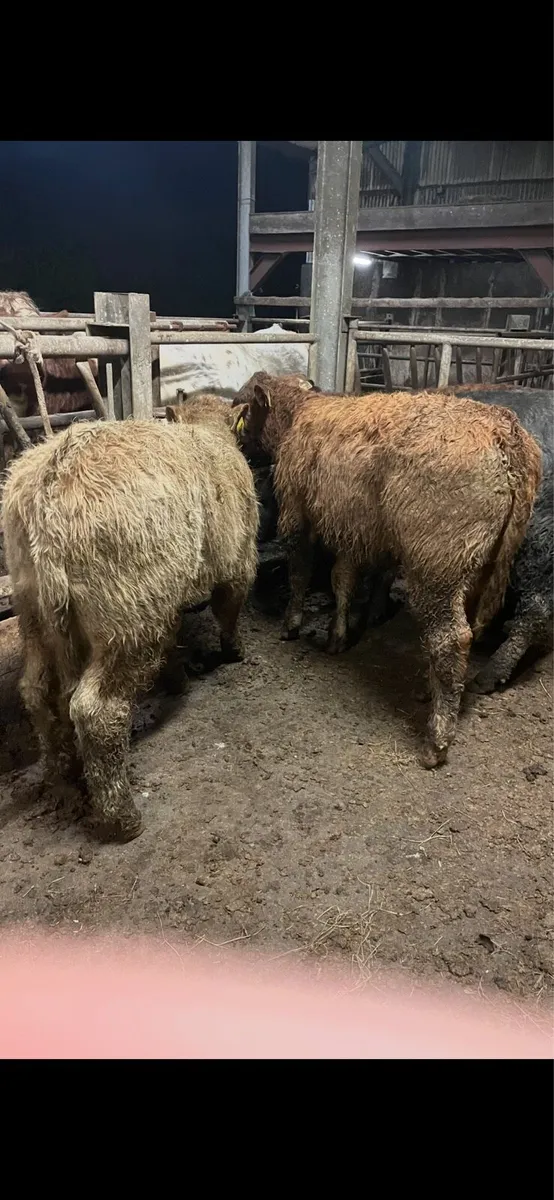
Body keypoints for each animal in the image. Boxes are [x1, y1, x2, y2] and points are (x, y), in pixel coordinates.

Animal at [2, 396, 258, 842]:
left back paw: (62, 776)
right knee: (97, 712)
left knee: (36, 690)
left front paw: (177, 679)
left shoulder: (167, 595)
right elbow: (228, 610)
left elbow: (174, 636)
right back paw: (122, 818)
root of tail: (53, 481)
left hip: (33, 609)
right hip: (128, 616)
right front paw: (233, 652)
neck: (206, 431)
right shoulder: (236, 560)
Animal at [231, 373, 542, 768]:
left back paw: (436, 740)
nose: (240, 447)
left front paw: (291, 625)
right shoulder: (351, 524)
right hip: (483, 562)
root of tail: (507, 433)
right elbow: (343, 580)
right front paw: (337, 636)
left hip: (437, 562)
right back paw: (433, 691)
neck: (300, 412)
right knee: (471, 628)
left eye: (243, 407)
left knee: (451, 638)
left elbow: (300, 572)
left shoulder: (298, 511)